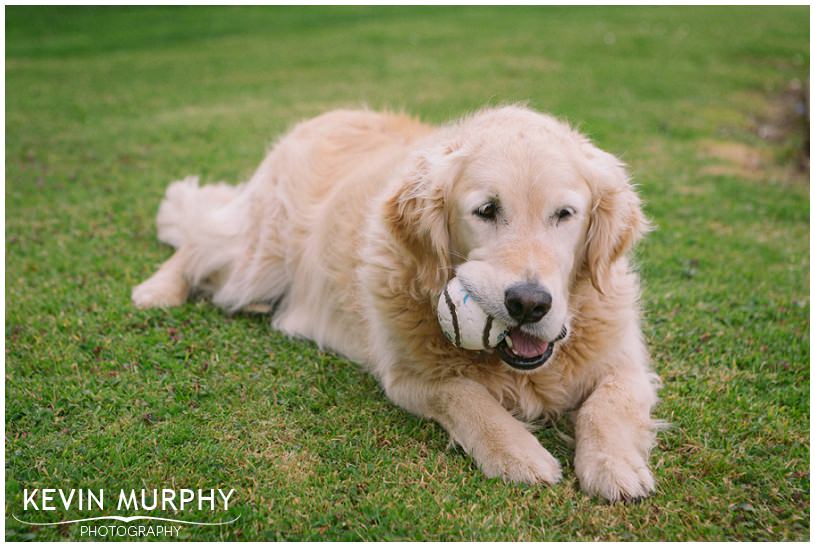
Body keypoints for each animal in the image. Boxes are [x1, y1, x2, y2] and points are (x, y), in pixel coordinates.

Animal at [131, 106, 660, 500]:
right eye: (486, 210)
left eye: (564, 214)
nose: (529, 303)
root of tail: (328, 113)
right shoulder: (408, 376)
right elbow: (466, 396)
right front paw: (518, 452)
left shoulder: (626, 361)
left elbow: (607, 405)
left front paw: (614, 465)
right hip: (256, 260)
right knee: (199, 241)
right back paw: (157, 290)